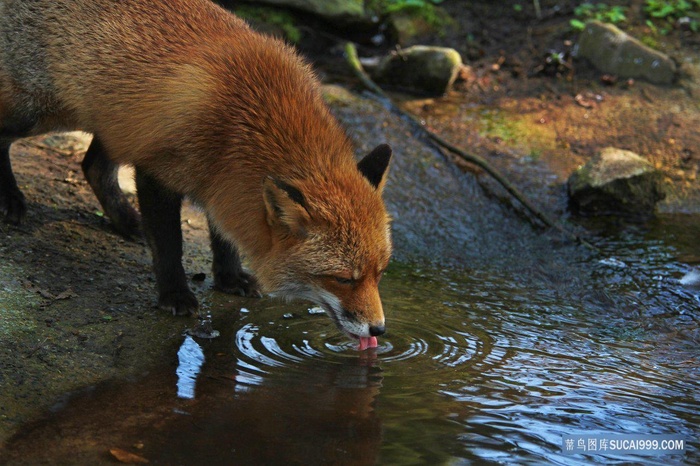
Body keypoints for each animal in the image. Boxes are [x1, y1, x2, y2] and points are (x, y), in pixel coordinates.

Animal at [0, 0, 394, 346]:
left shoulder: (223, 182)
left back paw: (126, 220)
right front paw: (175, 294)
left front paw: (230, 278)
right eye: (342, 279)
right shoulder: (157, 172)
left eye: (379, 273)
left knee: (93, 165)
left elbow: (224, 235)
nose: (379, 329)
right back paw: (12, 202)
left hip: (113, 126)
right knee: (4, 137)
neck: (246, 119)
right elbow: (170, 243)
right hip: (41, 114)